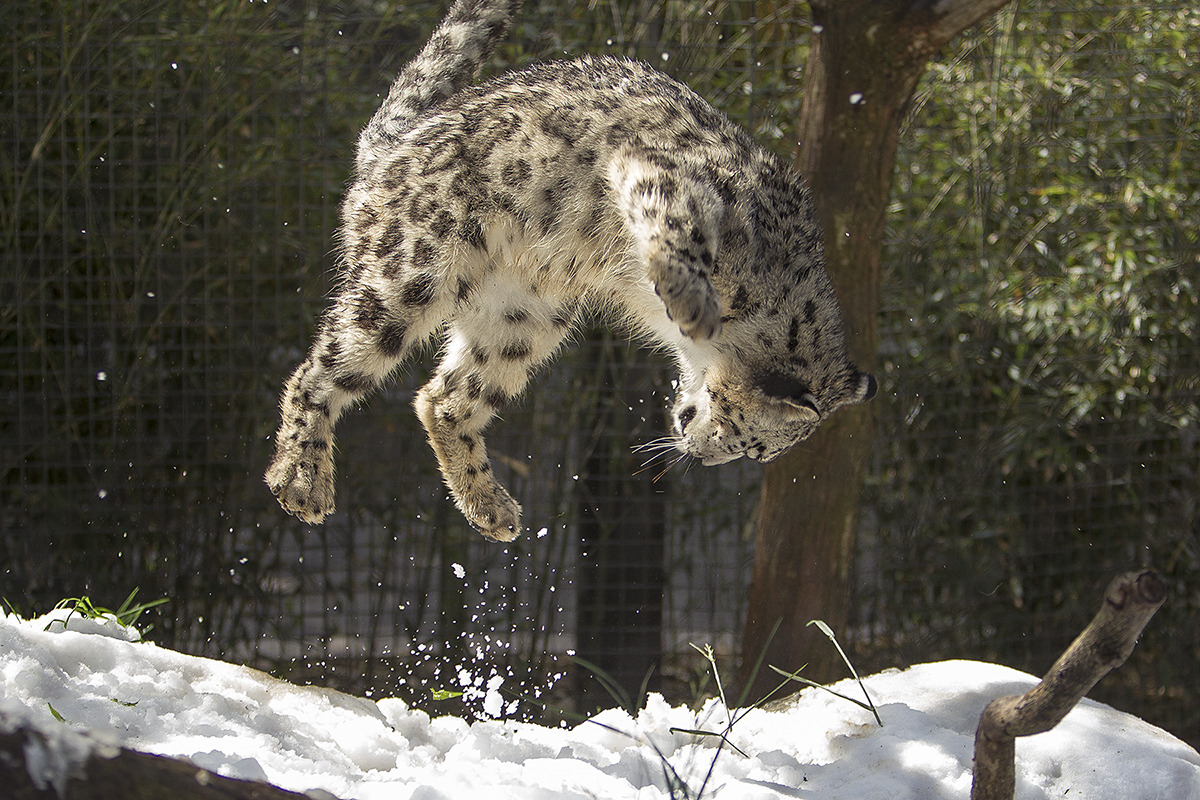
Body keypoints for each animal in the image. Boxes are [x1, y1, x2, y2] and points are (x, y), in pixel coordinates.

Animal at [267, 0, 878, 542]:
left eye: (749, 448)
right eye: (736, 429)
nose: (699, 454)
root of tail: (390, 145)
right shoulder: (663, 178)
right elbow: (676, 237)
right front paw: (692, 304)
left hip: (521, 322)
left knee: (444, 399)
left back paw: (490, 508)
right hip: (410, 272)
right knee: (319, 371)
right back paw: (301, 480)